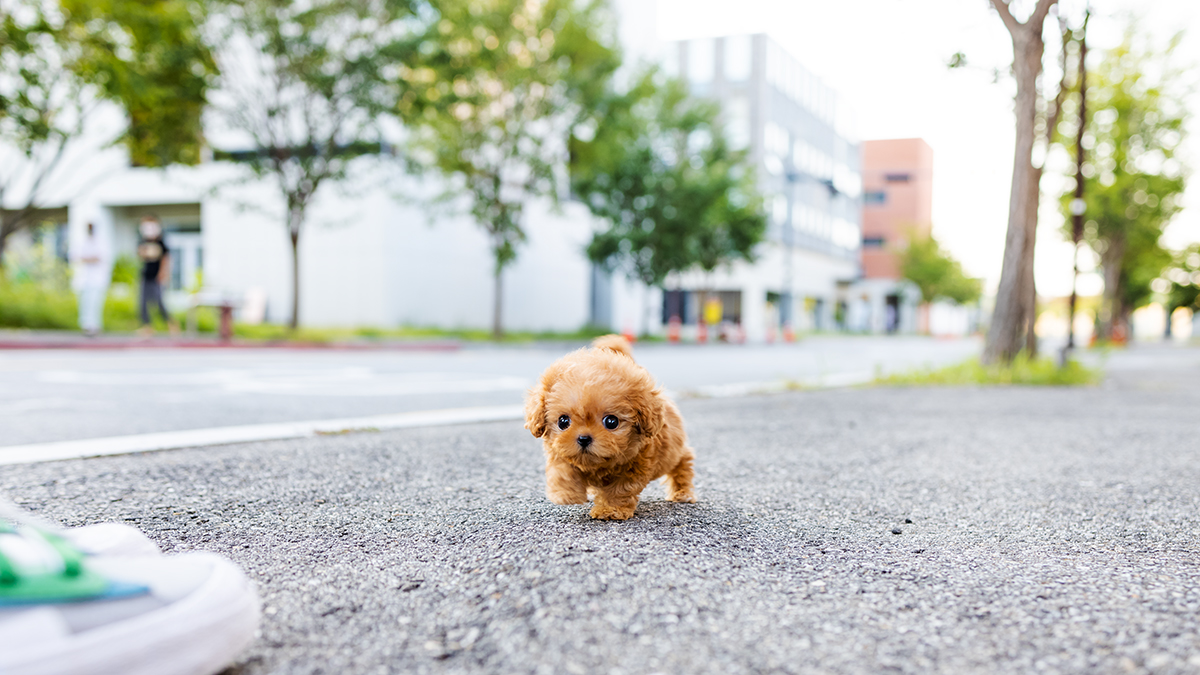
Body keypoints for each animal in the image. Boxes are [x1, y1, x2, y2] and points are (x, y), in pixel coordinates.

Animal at [523, 333, 696, 516]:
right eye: (563, 421)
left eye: (611, 422)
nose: (583, 439)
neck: (597, 464)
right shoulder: (560, 451)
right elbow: (562, 471)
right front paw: (566, 494)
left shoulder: (636, 465)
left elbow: (620, 489)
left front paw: (610, 510)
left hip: (671, 453)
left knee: (683, 461)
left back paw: (682, 493)